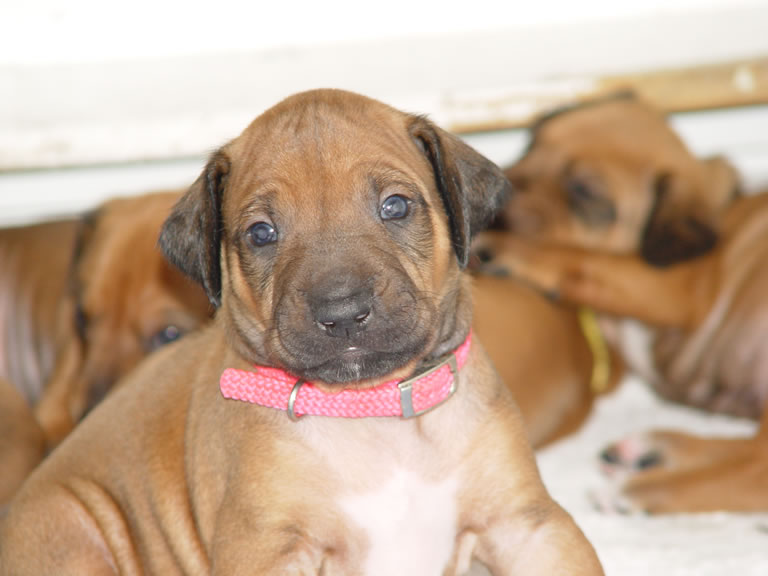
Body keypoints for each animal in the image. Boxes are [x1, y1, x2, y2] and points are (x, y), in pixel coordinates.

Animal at [475, 94, 768, 513]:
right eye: (531, 142)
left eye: (584, 190)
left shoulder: (678, 289)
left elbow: (588, 260)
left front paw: (506, 251)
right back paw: (649, 451)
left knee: (755, 471)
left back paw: (633, 492)